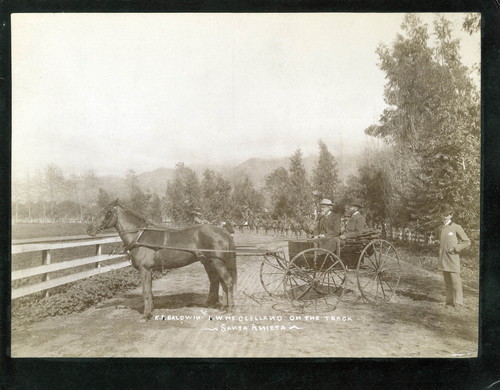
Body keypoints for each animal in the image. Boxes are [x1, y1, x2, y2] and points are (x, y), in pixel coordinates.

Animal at [85, 201, 237, 320]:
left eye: (107, 212)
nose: (89, 229)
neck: (140, 236)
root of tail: (224, 232)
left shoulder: (145, 269)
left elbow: (145, 291)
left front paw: (146, 314)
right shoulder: (149, 270)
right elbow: (150, 291)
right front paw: (150, 309)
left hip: (217, 263)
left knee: (228, 282)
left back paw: (230, 309)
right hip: (210, 262)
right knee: (219, 282)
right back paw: (221, 306)